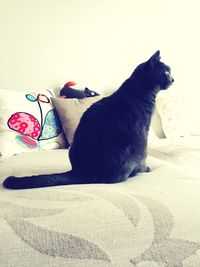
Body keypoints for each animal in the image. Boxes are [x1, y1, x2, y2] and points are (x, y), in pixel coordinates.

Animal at [3, 49, 173, 188]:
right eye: (166, 72)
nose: (173, 79)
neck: (141, 90)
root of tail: (84, 170)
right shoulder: (144, 132)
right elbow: (144, 155)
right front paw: (146, 168)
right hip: (131, 144)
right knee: (118, 177)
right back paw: (136, 171)